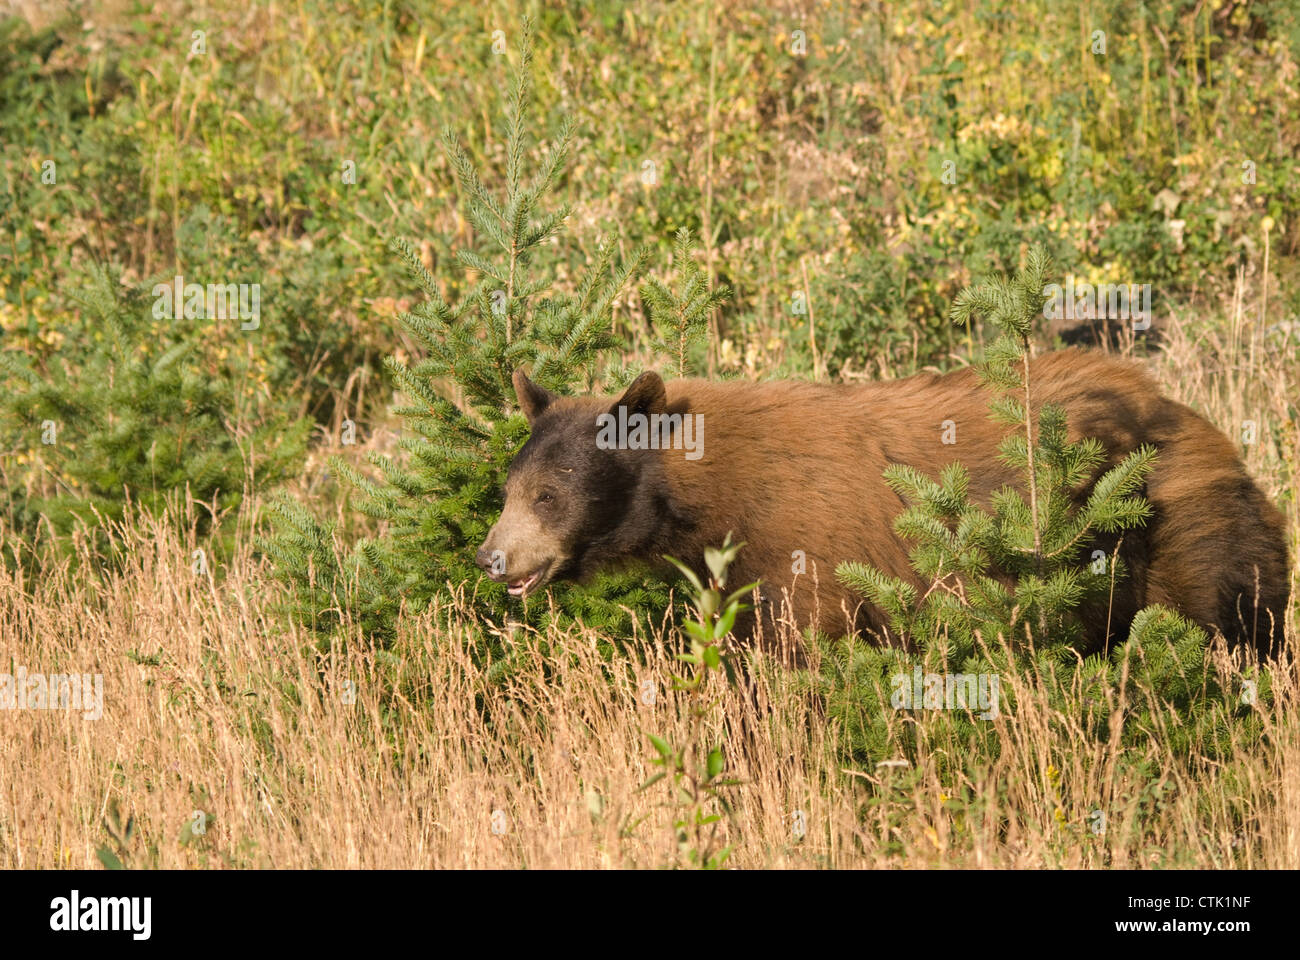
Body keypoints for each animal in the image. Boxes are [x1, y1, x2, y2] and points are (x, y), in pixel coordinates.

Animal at [475, 351, 1289, 658]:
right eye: (508, 490)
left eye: (549, 495)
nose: (490, 558)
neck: (709, 499)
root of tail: (1200, 424)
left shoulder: (805, 559)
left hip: (1182, 531)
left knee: (1228, 622)